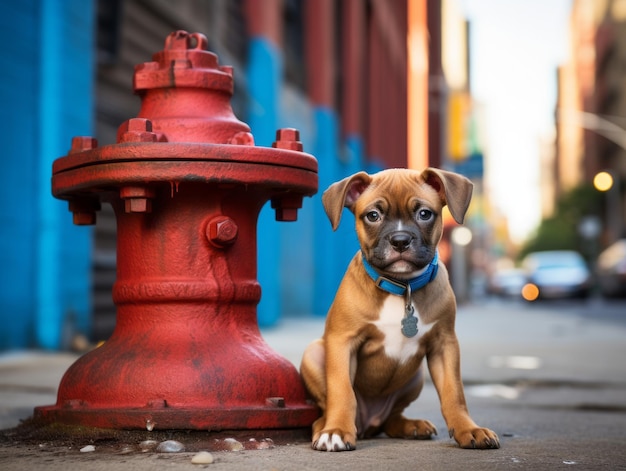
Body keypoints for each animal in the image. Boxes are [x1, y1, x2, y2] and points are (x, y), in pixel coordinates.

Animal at [300, 170, 500, 454]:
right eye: (373, 215)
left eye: (425, 214)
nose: (400, 240)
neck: (402, 286)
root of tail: (368, 424)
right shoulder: (342, 342)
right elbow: (342, 390)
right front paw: (336, 430)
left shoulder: (445, 344)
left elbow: (454, 392)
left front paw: (468, 429)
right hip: (314, 352)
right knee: (323, 412)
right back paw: (327, 427)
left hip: (415, 378)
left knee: (392, 419)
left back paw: (411, 426)